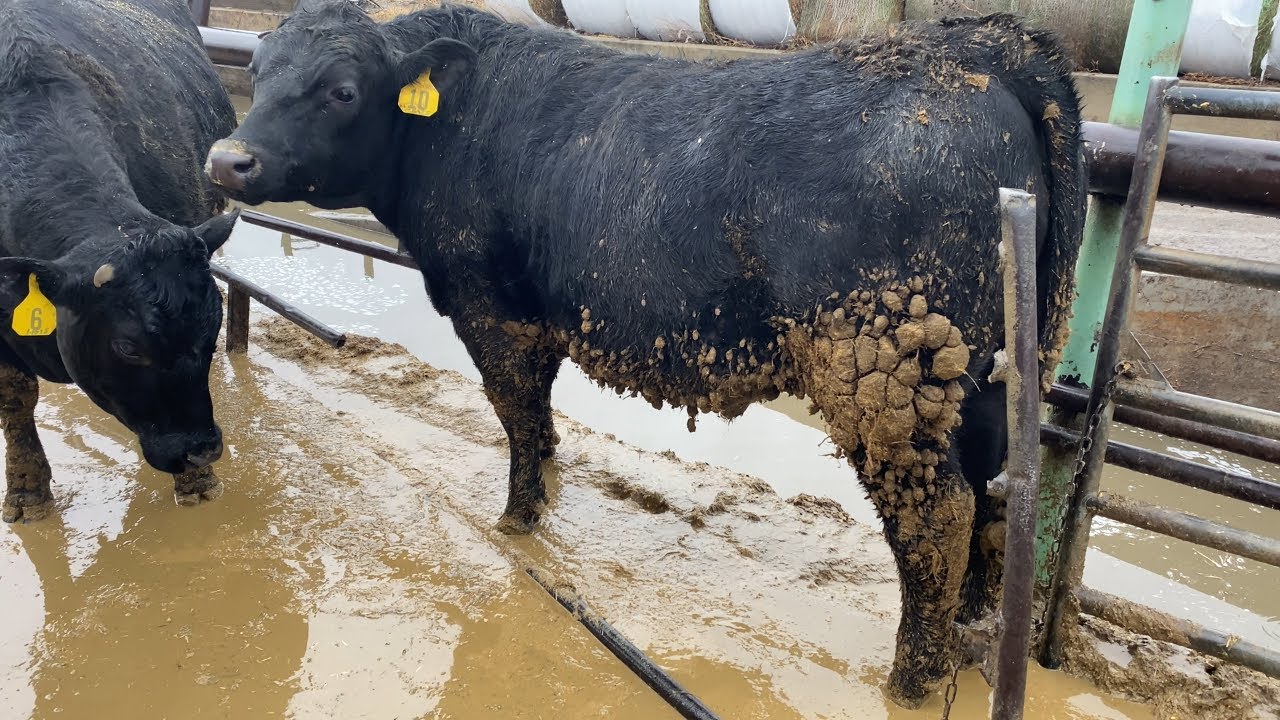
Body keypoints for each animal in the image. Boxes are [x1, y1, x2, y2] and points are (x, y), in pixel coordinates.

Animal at [0, 0, 239, 523]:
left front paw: (198, 482)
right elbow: (15, 398)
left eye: (212, 328)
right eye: (128, 348)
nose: (203, 450)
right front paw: (27, 490)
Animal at [207, 0, 1085, 706]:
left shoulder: (493, 311)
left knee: (938, 515)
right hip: (982, 376)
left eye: (341, 90)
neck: (452, 120)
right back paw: (967, 634)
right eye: (258, 68)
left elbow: (516, 412)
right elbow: (538, 419)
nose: (227, 160)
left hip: (879, 369)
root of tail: (971, 46)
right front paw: (545, 493)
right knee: (992, 497)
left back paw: (910, 678)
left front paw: (517, 520)